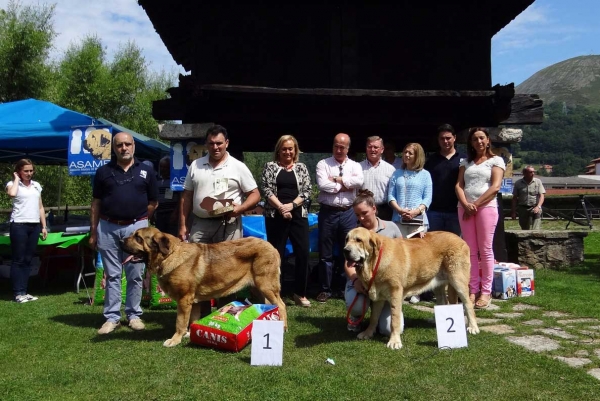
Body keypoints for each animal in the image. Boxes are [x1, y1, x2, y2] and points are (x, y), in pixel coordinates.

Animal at [122, 227, 286, 346]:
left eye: (138, 238)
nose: (120, 240)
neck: (168, 255)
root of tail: (271, 246)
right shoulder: (193, 301)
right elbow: (192, 319)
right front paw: (190, 333)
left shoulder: (184, 299)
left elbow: (180, 321)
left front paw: (175, 340)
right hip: (258, 288)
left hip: (265, 285)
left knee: (281, 305)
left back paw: (283, 327)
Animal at [344, 227, 480, 348]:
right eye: (346, 239)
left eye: (358, 240)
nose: (345, 250)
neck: (374, 262)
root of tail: (460, 238)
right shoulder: (378, 296)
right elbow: (373, 317)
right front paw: (368, 333)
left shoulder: (395, 293)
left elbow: (394, 319)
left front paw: (394, 341)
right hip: (438, 283)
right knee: (443, 301)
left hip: (458, 280)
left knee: (468, 303)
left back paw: (473, 327)